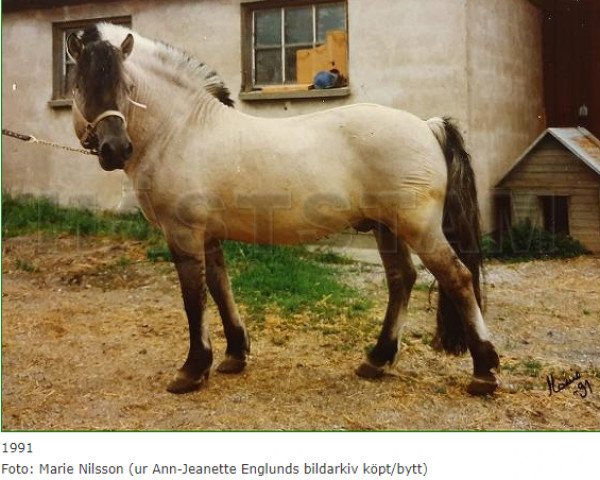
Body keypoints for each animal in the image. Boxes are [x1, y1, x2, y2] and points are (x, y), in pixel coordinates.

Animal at [65, 22, 500, 396]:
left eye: (126, 86)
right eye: (82, 84)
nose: (115, 149)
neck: (181, 130)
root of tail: (427, 126)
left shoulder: (183, 234)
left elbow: (194, 299)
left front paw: (192, 370)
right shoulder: (209, 236)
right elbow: (220, 288)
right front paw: (234, 355)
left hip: (418, 228)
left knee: (457, 278)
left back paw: (484, 372)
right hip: (387, 228)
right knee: (401, 280)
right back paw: (377, 360)